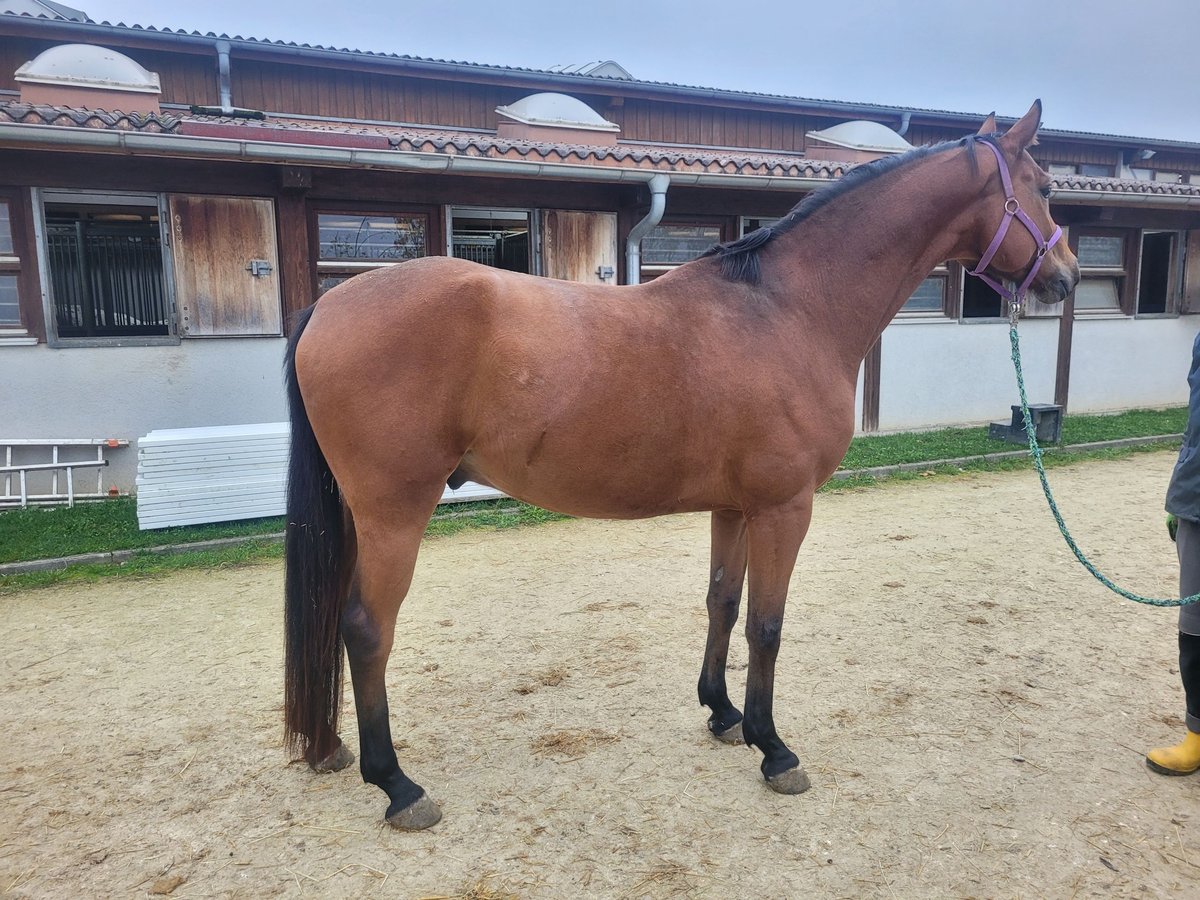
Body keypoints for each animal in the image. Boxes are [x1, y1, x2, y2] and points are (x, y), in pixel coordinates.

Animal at [283, 100, 1080, 830]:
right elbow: (767, 624)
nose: (1066, 278)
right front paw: (774, 749)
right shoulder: (785, 508)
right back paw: (397, 785)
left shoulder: (736, 507)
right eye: (1043, 187)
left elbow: (722, 601)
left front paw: (723, 714)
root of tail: (328, 306)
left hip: (361, 517)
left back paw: (338, 752)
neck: (787, 309)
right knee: (366, 630)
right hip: (394, 514)